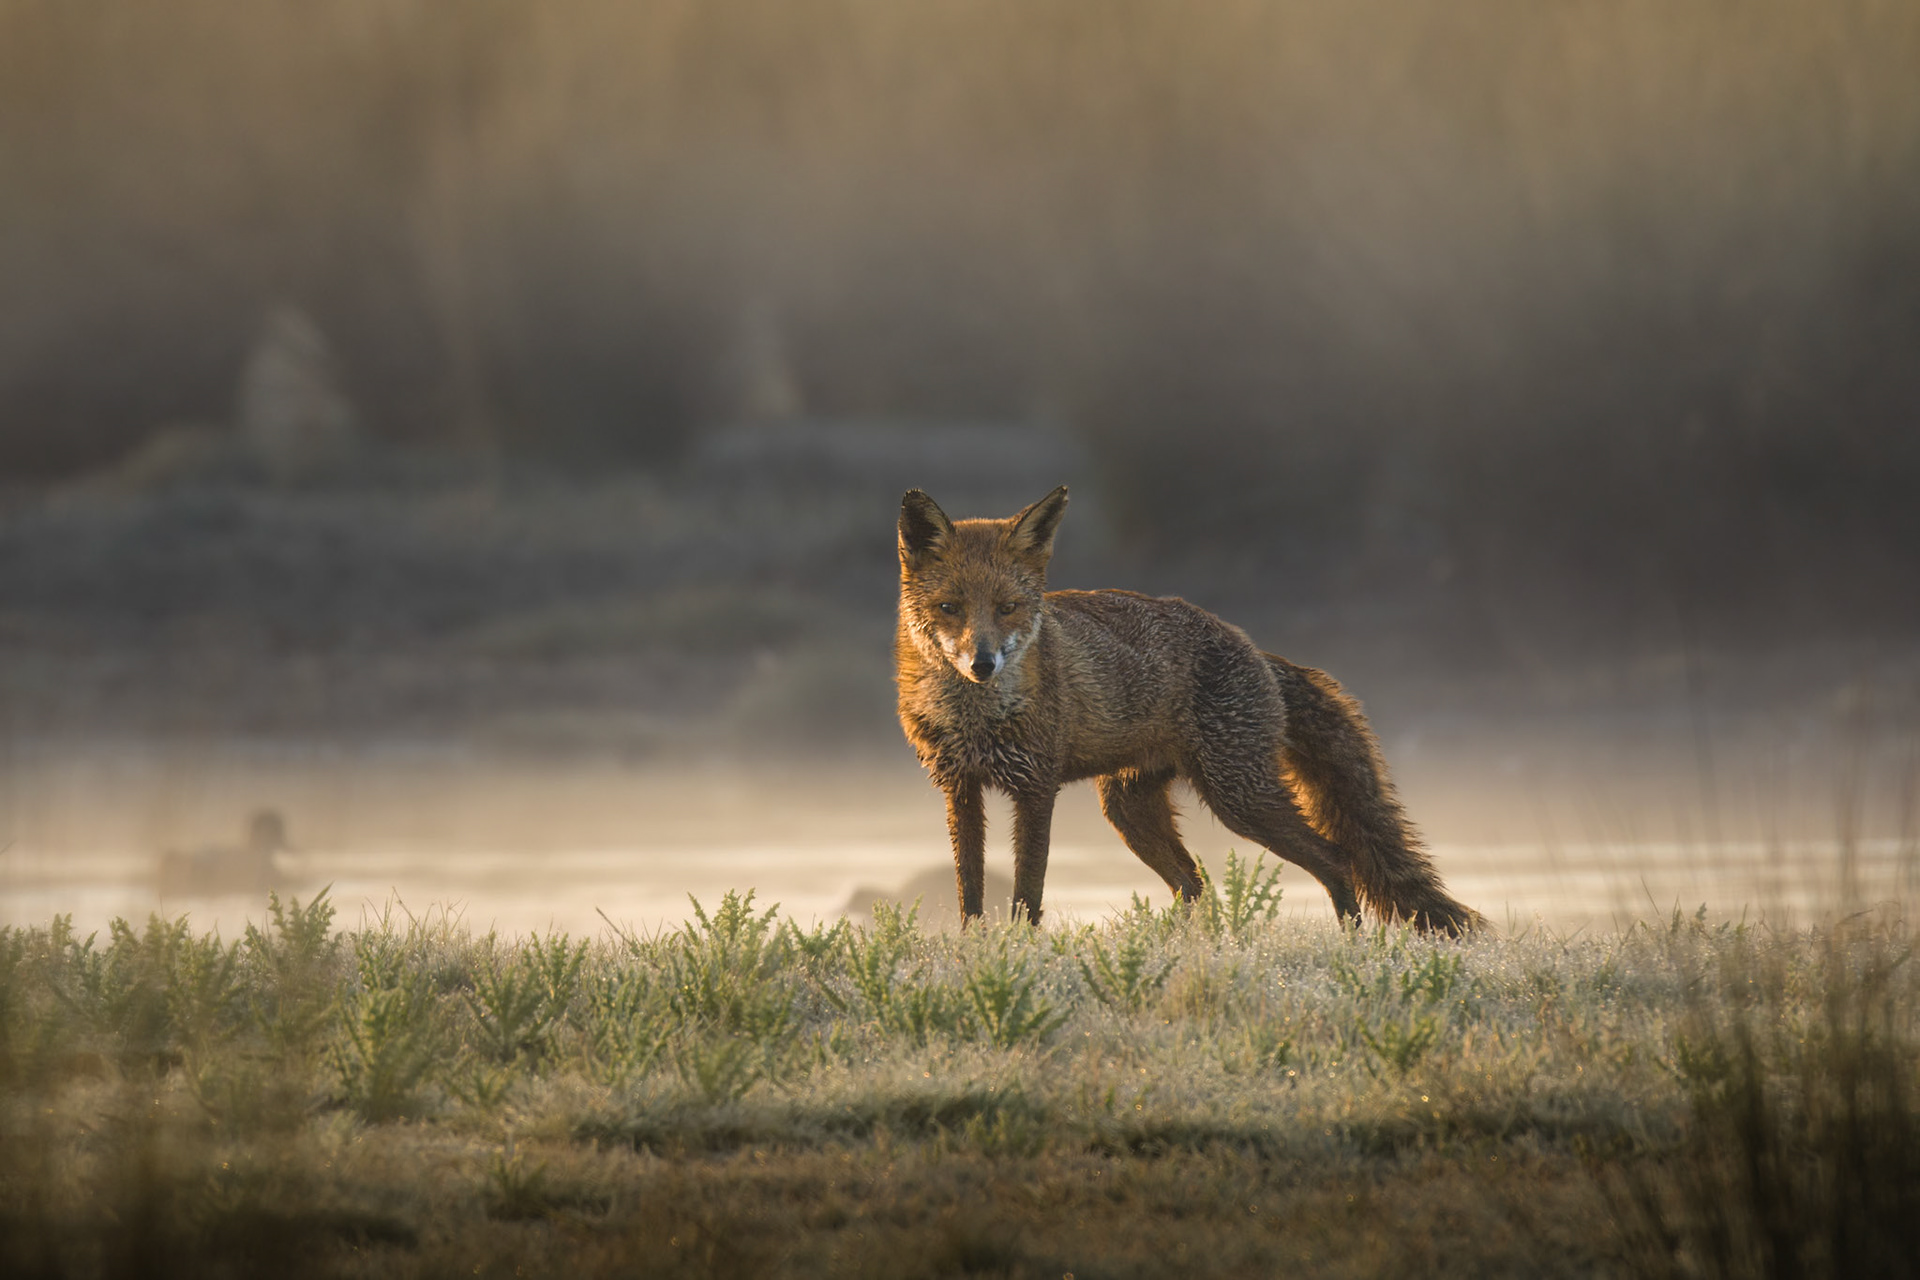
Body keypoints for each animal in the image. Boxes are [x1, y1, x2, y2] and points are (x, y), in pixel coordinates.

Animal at [895, 485, 1480, 935]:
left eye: (1007, 608)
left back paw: (1354, 949)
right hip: (1131, 811)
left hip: (1238, 796)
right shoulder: (959, 787)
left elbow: (1026, 894)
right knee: (1195, 885)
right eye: (950, 608)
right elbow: (970, 895)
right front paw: (976, 953)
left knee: (1337, 860)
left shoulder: (1036, 787)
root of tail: (1257, 650)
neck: (976, 721)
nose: (982, 663)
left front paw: (1018, 954)